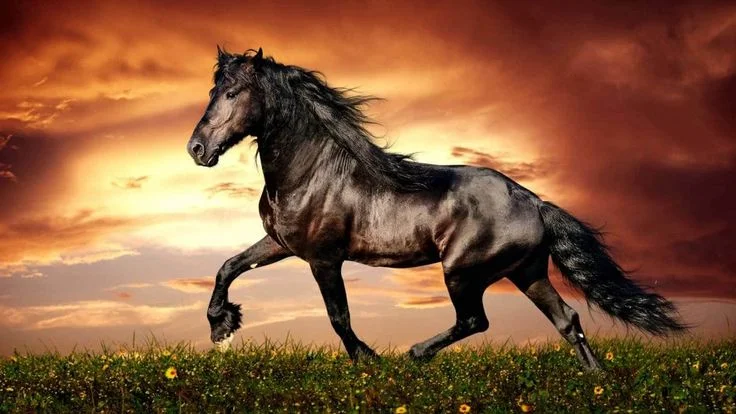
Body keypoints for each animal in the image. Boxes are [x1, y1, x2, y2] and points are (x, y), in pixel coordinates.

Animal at [187, 47, 686, 370]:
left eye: (232, 94)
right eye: (214, 91)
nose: (196, 149)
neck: (311, 171)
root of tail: (534, 202)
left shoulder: (323, 259)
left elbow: (338, 317)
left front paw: (369, 361)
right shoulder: (282, 243)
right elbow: (228, 266)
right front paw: (221, 326)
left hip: (463, 271)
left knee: (475, 320)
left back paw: (415, 354)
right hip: (527, 272)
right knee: (567, 320)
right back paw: (596, 381)